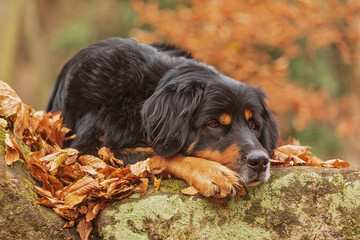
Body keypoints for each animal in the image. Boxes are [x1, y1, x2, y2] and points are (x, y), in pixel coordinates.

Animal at [47, 37, 278, 197]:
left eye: (254, 126)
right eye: (213, 124)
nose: (260, 161)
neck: (144, 93)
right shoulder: (84, 150)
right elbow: (161, 154)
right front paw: (212, 173)